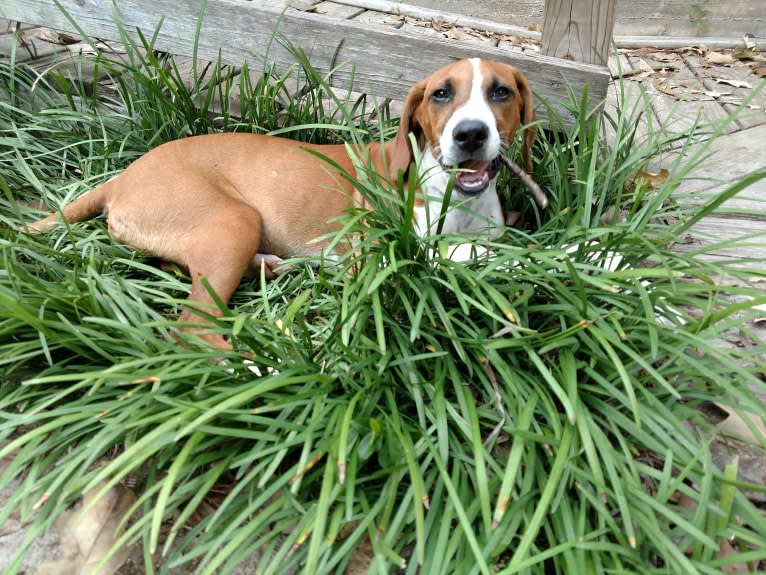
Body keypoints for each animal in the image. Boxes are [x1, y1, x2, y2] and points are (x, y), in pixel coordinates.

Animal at [27, 58, 536, 348]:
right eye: (440, 94)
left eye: (501, 91)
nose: (469, 134)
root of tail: (120, 178)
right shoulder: (376, 253)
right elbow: (463, 253)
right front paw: (542, 256)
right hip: (234, 219)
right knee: (193, 329)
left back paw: (266, 268)